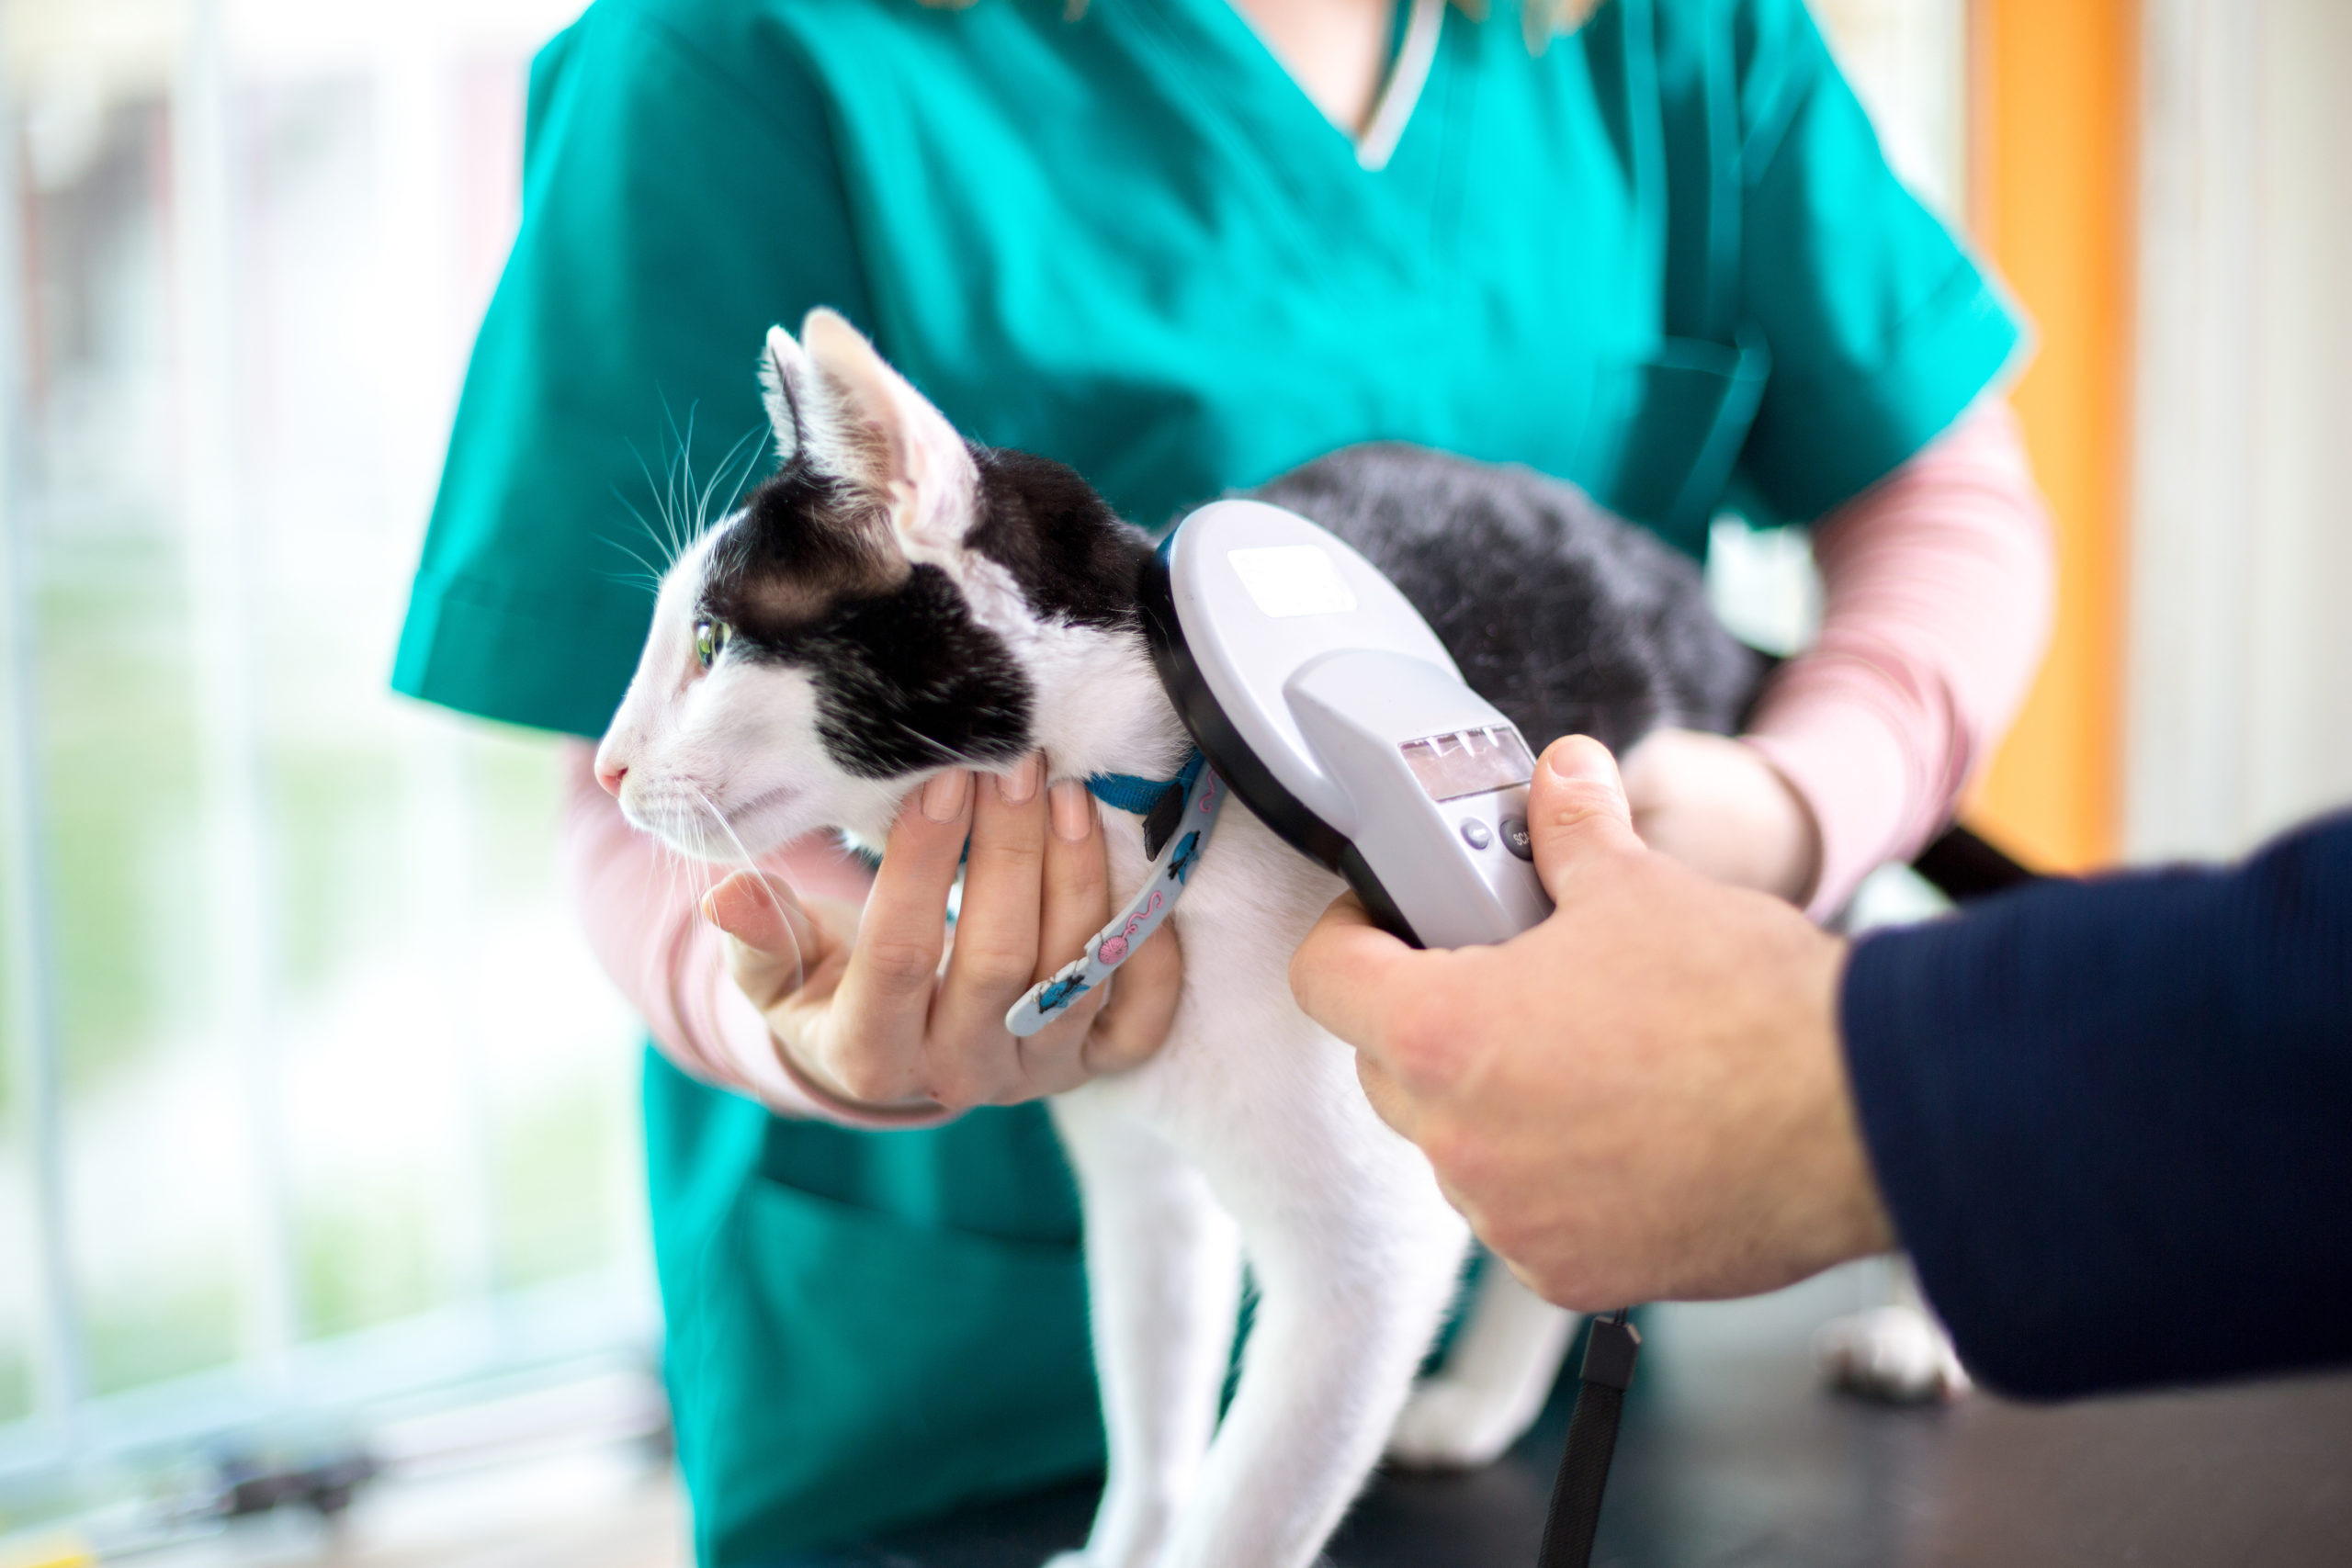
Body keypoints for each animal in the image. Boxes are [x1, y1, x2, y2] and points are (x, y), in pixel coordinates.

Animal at [597, 312, 1758, 1568]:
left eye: (710, 640)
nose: (606, 766)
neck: (1148, 829)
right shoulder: (1142, 1190)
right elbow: (1154, 1411)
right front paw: (1123, 1545)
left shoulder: (1368, 1270)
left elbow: (1244, 1513)